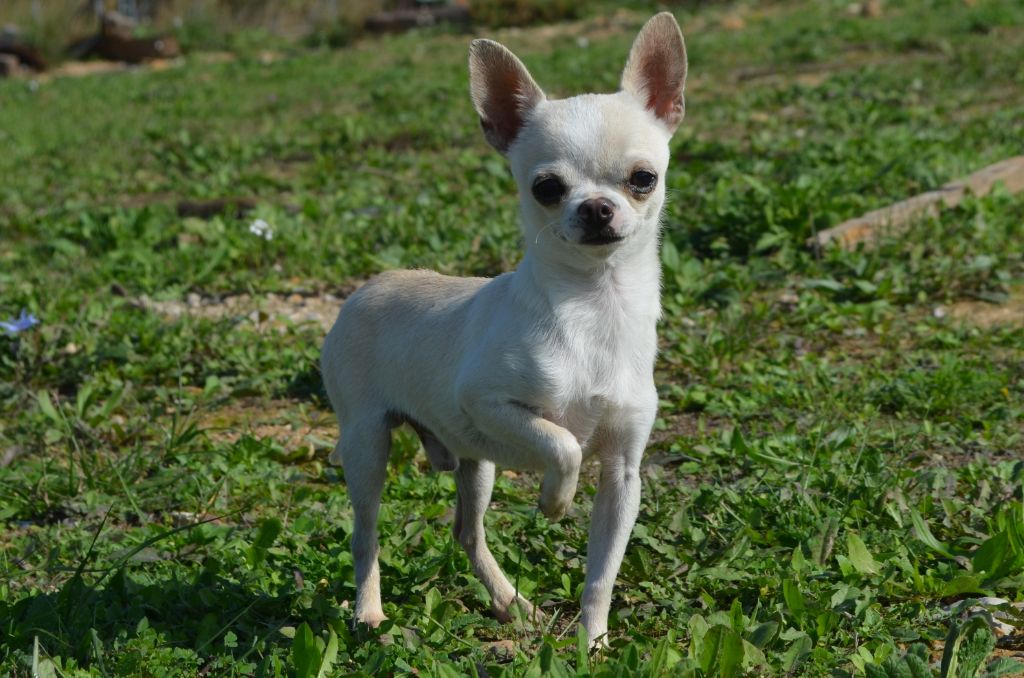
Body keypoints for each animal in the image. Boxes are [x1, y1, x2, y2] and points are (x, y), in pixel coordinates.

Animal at [319, 13, 688, 647]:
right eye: (547, 188)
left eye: (643, 178)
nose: (596, 207)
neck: (595, 307)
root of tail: (371, 284)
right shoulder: (489, 403)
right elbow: (562, 442)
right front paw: (554, 501)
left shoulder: (623, 476)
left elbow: (602, 572)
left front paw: (593, 642)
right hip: (367, 444)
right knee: (365, 535)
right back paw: (369, 612)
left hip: (476, 463)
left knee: (467, 533)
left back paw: (513, 604)